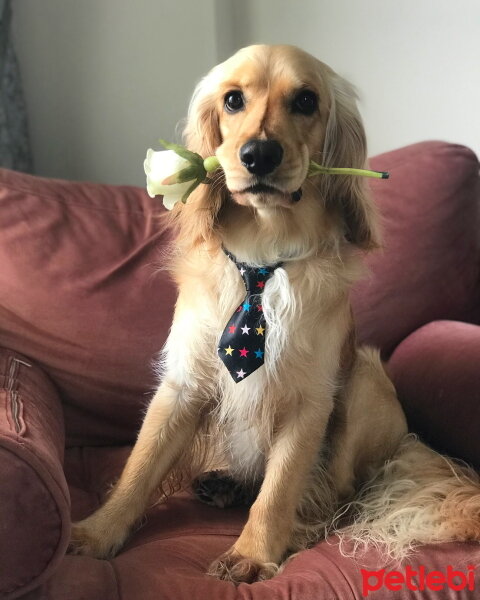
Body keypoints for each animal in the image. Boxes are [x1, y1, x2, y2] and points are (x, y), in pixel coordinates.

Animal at [69, 45, 480, 580]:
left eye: (306, 100)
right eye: (233, 100)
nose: (259, 154)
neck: (263, 261)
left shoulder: (308, 401)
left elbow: (279, 490)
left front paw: (252, 553)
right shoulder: (183, 385)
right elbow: (139, 467)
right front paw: (95, 533)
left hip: (363, 378)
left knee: (336, 495)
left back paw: (301, 526)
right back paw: (224, 485)